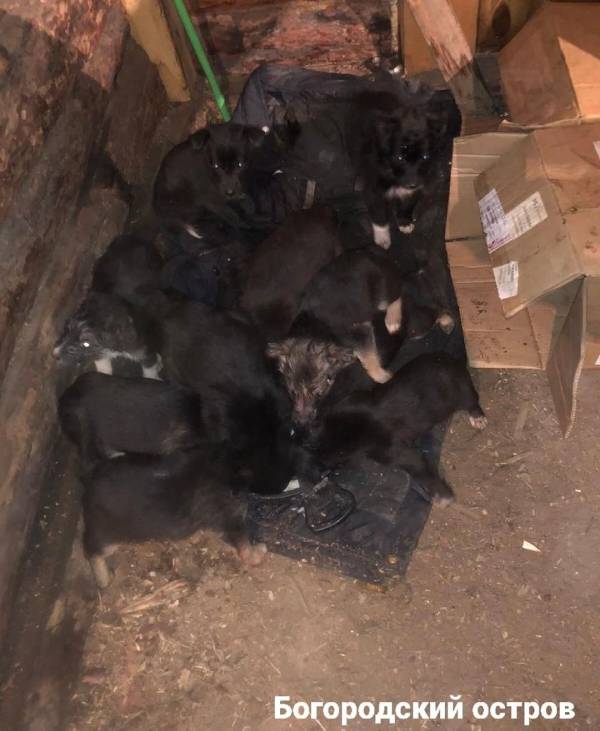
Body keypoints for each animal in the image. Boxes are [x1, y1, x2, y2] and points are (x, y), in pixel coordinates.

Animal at [82, 449, 267, 588]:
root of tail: (89, 483)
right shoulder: (231, 518)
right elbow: (243, 543)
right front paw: (256, 554)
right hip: (106, 533)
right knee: (91, 551)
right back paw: (104, 579)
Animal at [311, 353, 487, 503]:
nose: (320, 471)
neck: (351, 428)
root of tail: (453, 360)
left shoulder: (395, 451)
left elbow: (418, 468)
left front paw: (442, 495)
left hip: (463, 390)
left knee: (473, 401)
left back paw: (478, 418)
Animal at [346, 79, 448, 248]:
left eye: (425, 156)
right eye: (399, 157)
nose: (412, 184)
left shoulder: (415, 188)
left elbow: (407, 205)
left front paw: (404, 222)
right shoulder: (374, 190)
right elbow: (379, 215)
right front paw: (382, 239)